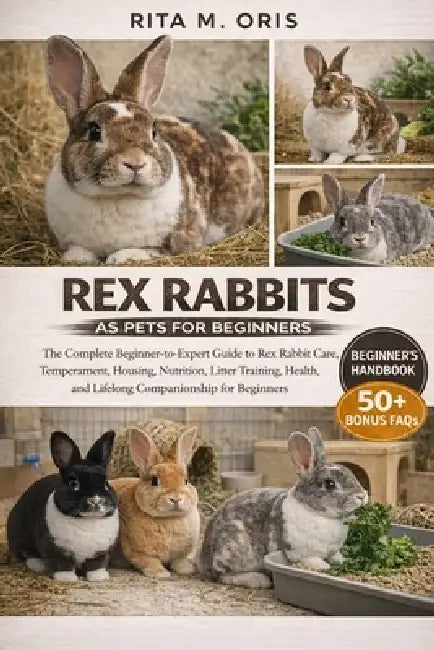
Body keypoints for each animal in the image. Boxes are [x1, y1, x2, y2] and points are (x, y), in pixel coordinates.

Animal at [7, 430, 118, 582]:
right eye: (73, 483)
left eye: (106, 483)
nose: (96, 501)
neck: (87, 520)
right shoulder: (54, 548)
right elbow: (61, 564)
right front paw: (67, 579)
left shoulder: (102, 551)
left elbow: (97, 564)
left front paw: (99, 577)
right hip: (19, 534)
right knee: (25, 553)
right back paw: (38, 565)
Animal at [44, 35, 264, 265]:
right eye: (94, 131)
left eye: (154, 131)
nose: (135, 163)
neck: (120, 195)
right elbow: (78, 250)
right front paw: (75, 258)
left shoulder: (179, 242)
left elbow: (150, 251)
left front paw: (119, 257)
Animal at [110, 426, 200, 578]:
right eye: (154, 481)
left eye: (186, 480)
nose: (176, 499)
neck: (169, 519)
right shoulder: (139, 553)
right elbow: (150, 561)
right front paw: (160, 573)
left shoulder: (179, 555)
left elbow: (179, 561)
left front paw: (187, 569)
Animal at [200, 427, 368, 589]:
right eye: (330, 484)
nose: (362, 496)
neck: (317, 512)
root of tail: (203, 559)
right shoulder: (301, 553)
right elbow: (312, 560)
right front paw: (324, 567)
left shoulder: (333, 550)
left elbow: (336, 556)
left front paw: (343, 560)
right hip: (233, 545)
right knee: (221, 575)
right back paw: (259, 580)